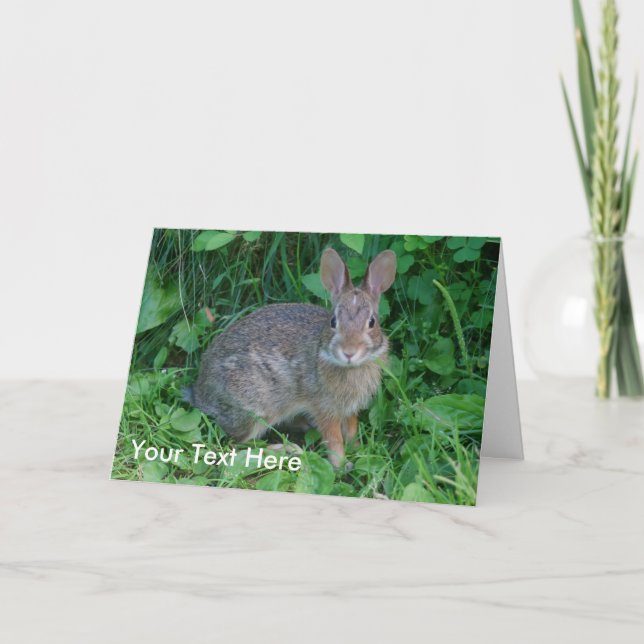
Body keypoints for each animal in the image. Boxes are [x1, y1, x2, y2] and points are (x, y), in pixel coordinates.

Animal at [186, 248, 397, 468]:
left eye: (372, 322)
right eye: (333, 321)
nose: (349, 352)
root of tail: (200, 394)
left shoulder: (349, 409)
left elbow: (352, 431)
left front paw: (358, 451)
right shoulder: (324, 408)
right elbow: (334, 439)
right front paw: (341, 465)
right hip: (255, 408)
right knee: (238, 444)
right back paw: (287, 449)